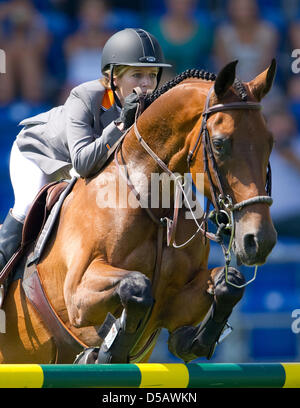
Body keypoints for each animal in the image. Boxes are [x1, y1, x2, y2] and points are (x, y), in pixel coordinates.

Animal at [0, 59, 276, 364]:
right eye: (219, 143)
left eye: (270, 142)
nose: (259, 240)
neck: (155, 206)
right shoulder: (77, 295)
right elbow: (137, 286)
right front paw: (107, 352)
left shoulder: (173, 303)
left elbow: (230, 284)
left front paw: (193, 341)